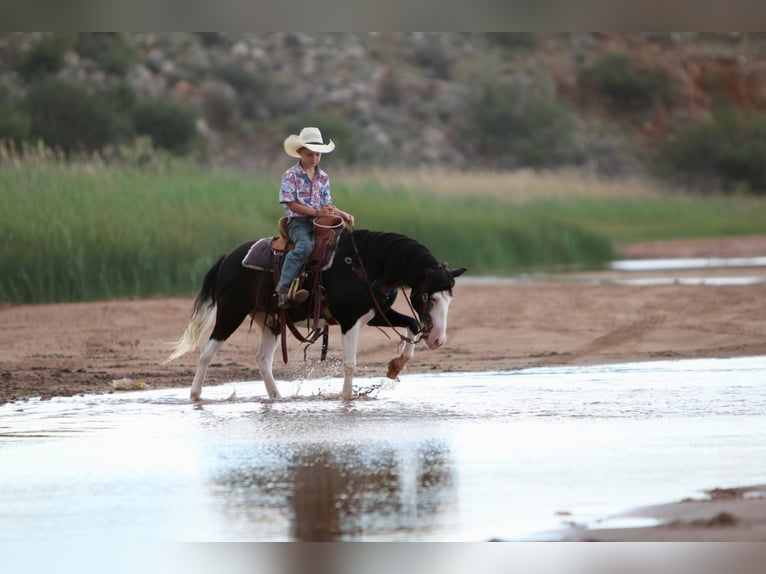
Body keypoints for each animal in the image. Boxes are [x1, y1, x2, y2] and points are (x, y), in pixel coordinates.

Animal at [166, 227, 468, 402]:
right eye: (431, 297)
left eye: (450, 299)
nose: (438, 340)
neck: (367, 266)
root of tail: (228, 258)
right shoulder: (350, 320)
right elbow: (350, 363)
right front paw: (346, 398)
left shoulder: (374, 313)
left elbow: (412, 324)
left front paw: (396, 365)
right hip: (231, 312)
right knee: (207, 352)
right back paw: (195, 396)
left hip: (270, 320)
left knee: (263, 359)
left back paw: (277, 397)